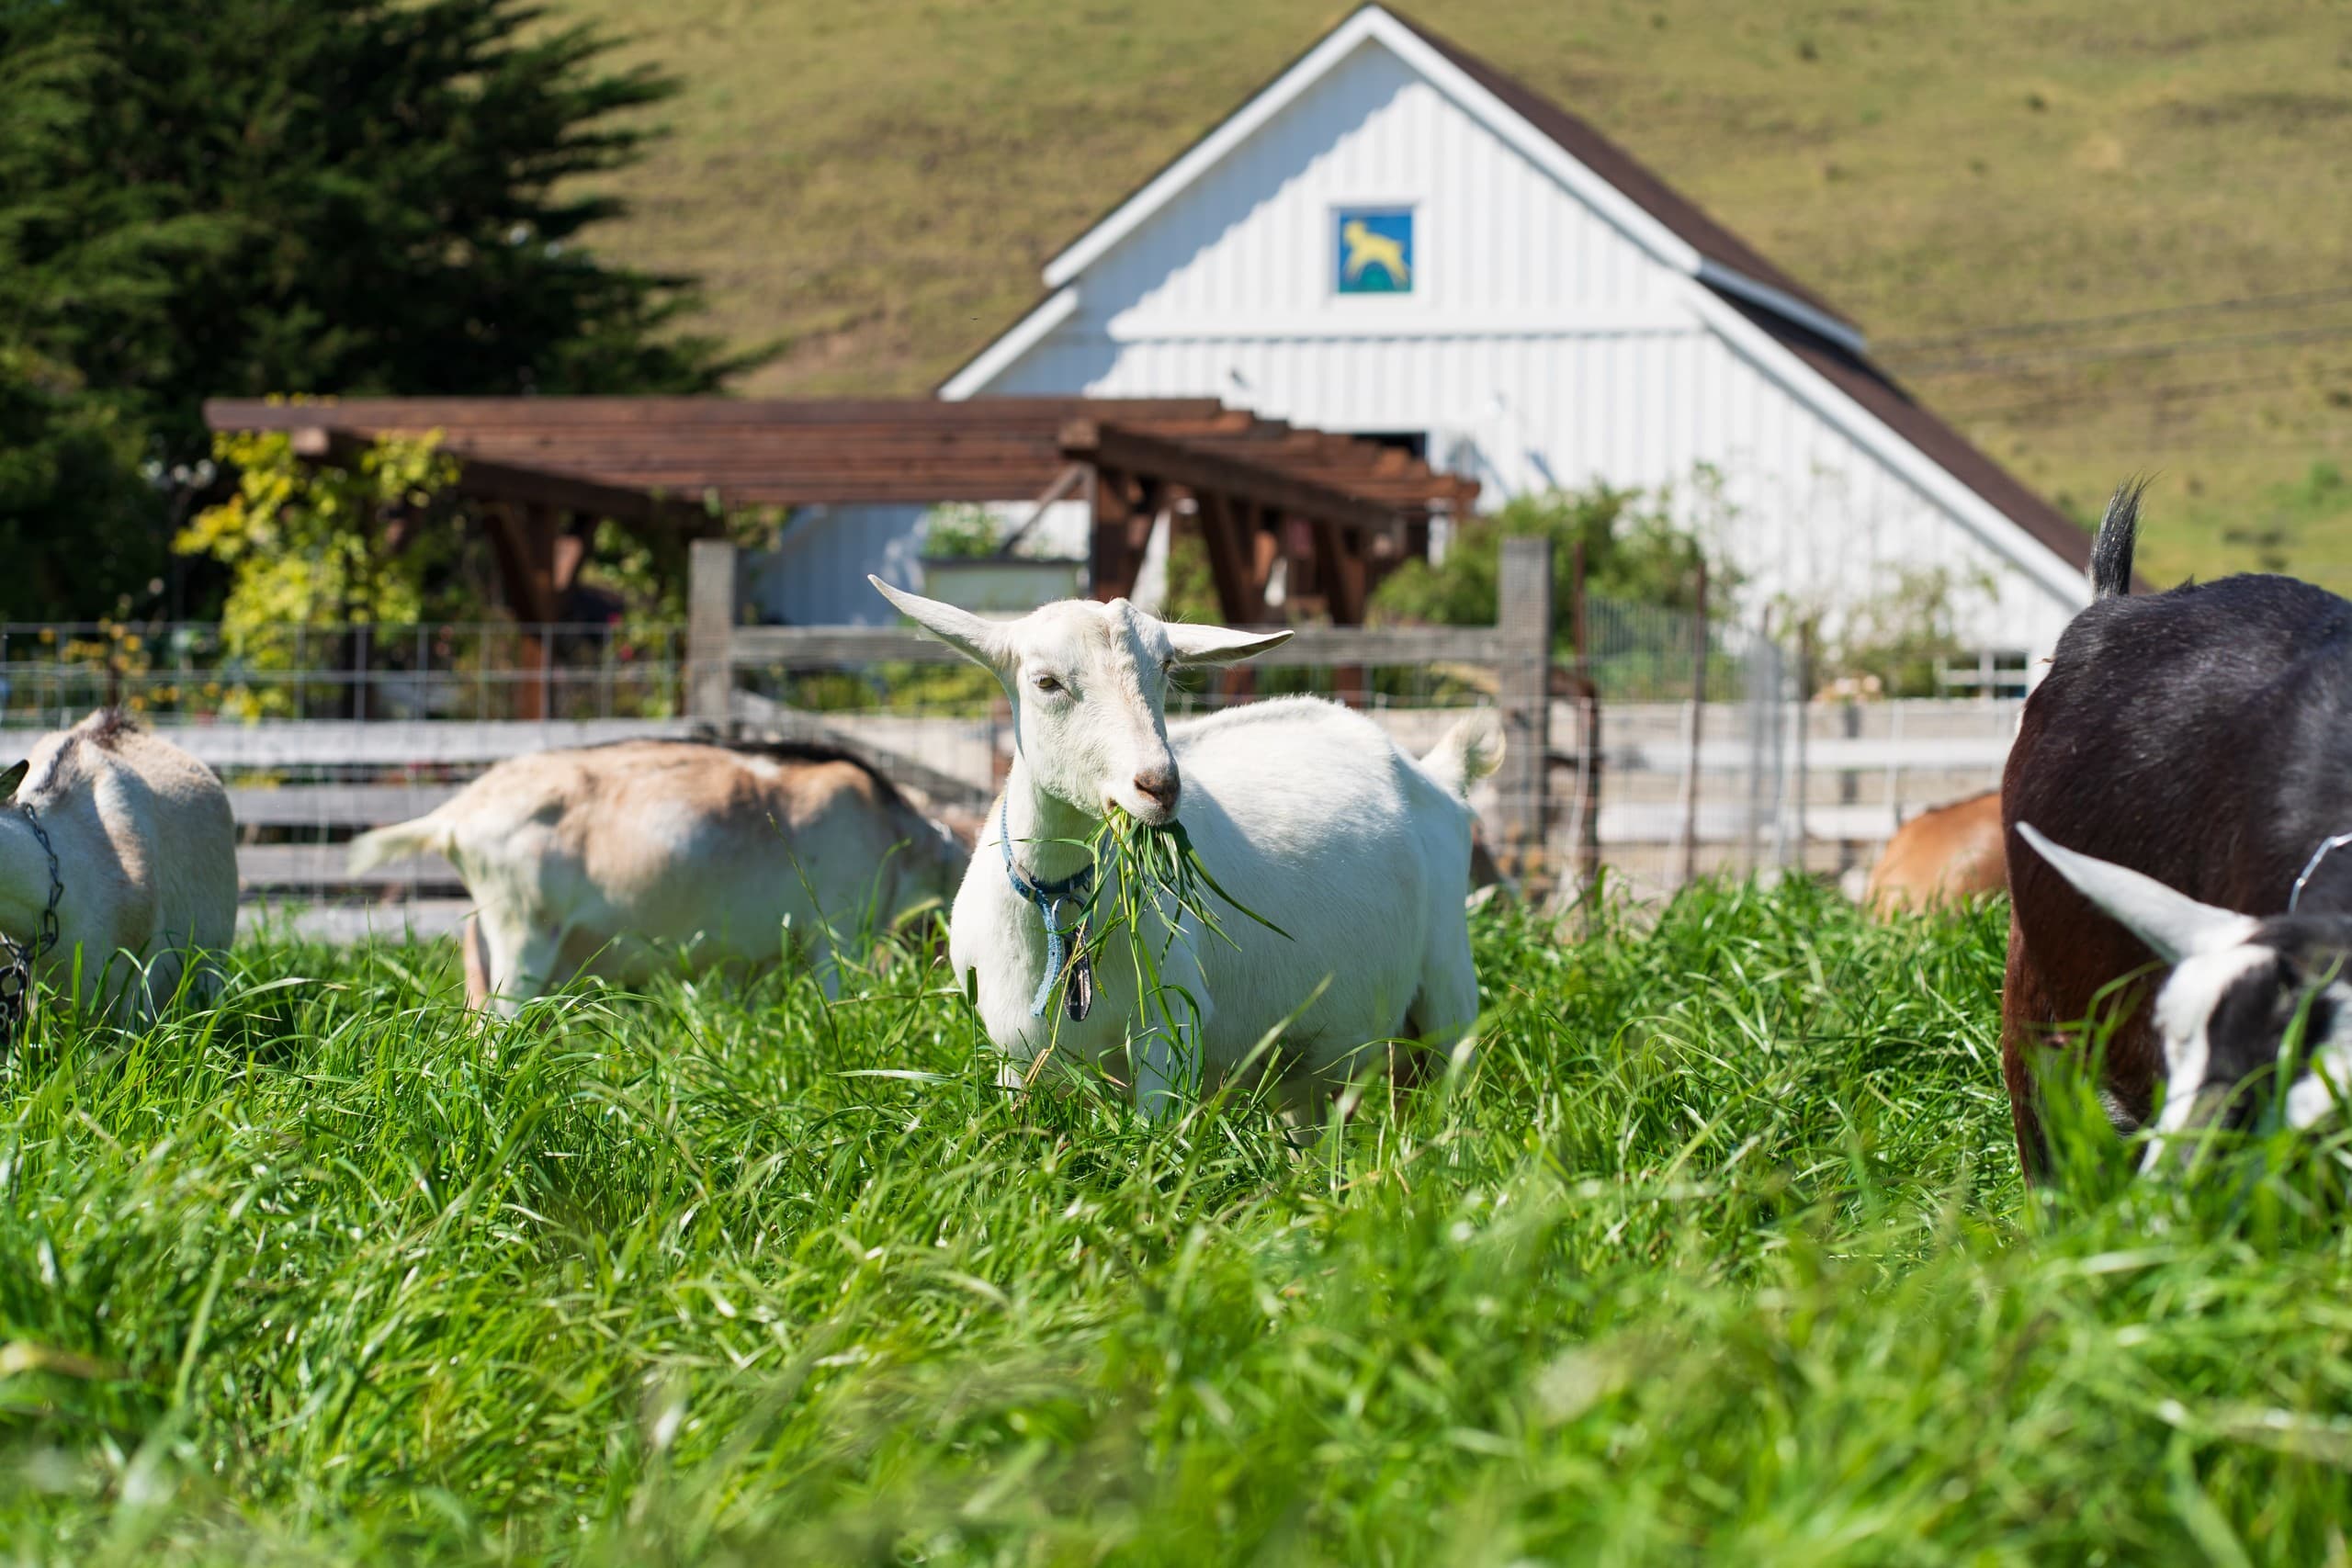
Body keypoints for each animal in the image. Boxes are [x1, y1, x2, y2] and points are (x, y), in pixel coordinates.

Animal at [868, 577, 1504, 1123]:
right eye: (1046, 682)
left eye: (1166, 668)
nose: (1159, 785)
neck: (1056, 902)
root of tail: (1435, 772)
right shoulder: (1011, 1053)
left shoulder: (1169, 1025)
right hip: (1311, 1064)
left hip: (1449, 987)